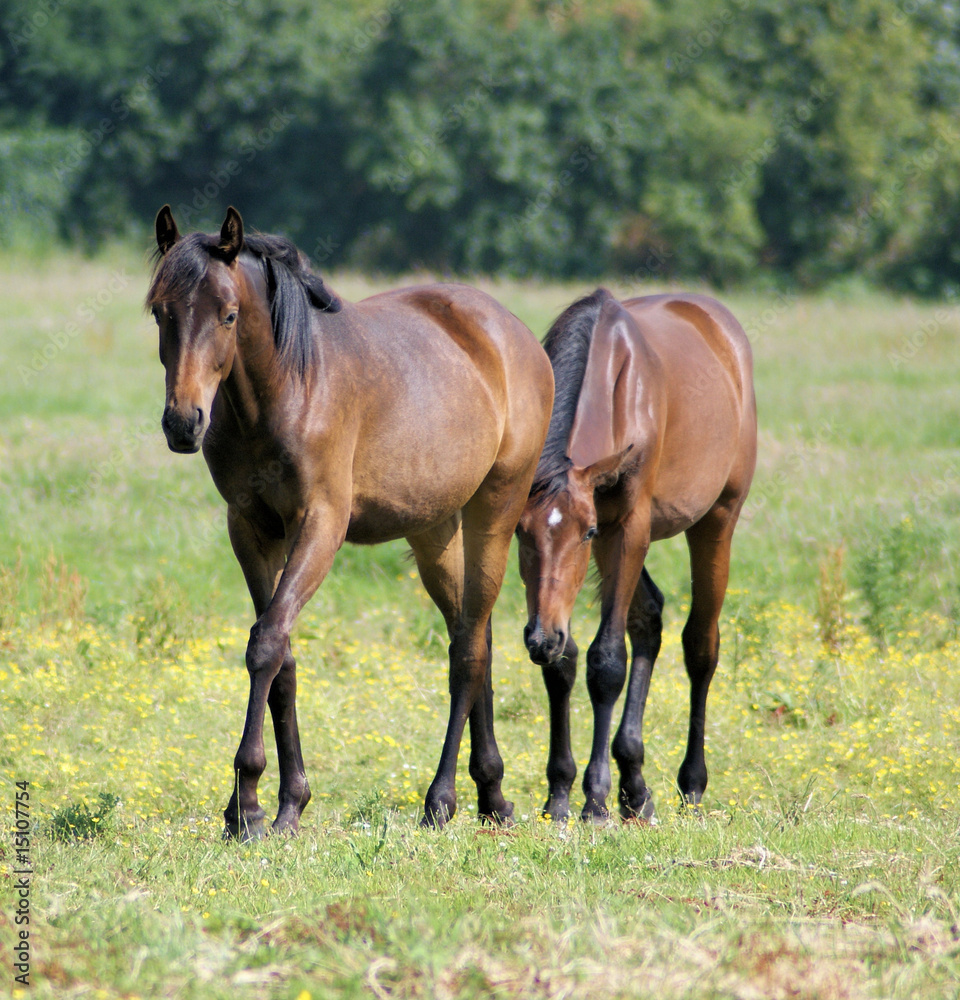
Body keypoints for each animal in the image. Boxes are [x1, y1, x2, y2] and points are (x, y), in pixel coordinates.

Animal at [150, 205, 556, 836]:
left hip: (495, 507)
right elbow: (282, 657)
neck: (289, 389)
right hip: (433, 531)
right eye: (159, 311)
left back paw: (442, 799)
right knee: (474, 634)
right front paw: (287, 802)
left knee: (468, 652)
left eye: (229, 314)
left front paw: (246, 803)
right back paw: (492, 793)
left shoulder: (320, 525)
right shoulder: (250, 529)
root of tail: (511, 333)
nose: (183, 423)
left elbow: (266, 643)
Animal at [516, 288, 756, 820]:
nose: (540, 637)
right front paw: (560, 793)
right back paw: (636, 787)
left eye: (584, 532)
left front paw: (595, 799)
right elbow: (565, 661)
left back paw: (690, 783)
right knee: (648, 619)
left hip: (717, 520)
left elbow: (606, 661)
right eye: (521, 533)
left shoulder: (625, 528)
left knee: (700, 646)